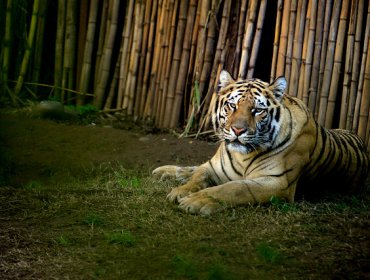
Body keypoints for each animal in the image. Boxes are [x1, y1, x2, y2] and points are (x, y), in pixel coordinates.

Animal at [152, 69, 368, 215]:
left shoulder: (277, 182)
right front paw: (181, 192)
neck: (242, 156)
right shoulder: (212, 167)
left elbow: (234, 188)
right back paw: (163, 172)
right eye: (232, 105)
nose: (238, 130)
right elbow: (197, 176)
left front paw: (198, 200)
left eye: (257, 110)